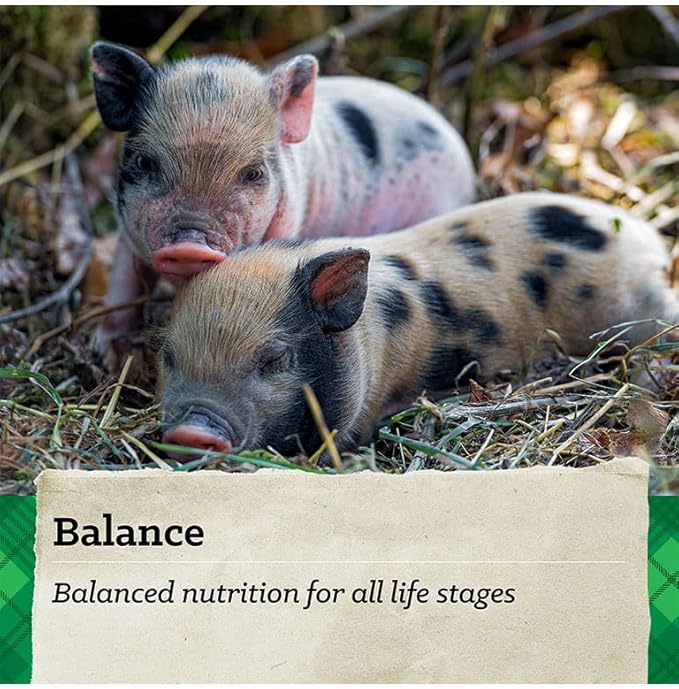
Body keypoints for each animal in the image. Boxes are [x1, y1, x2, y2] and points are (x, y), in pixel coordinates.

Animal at [89, 41, 476, 363]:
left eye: (254, 172)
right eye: (144, 162)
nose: (189, 243)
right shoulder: (126, 235)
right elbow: (121, 287)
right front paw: (103, 353)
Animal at [157, 191, 679, 460]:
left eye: (274, 359)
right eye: (168, 356)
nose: (192, 430)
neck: (371, 339)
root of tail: (646, 238)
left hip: (636, 308)